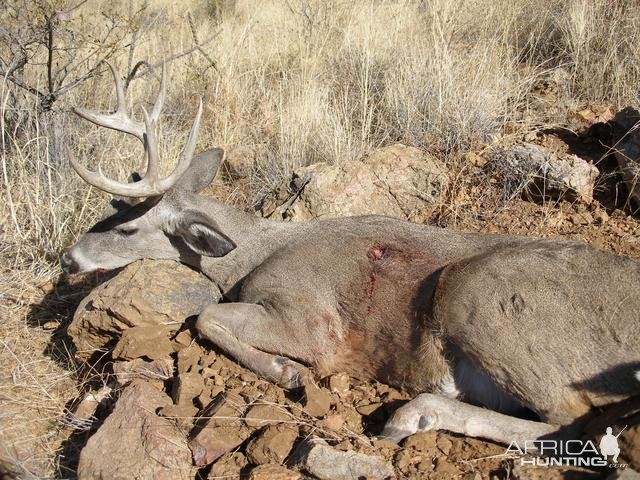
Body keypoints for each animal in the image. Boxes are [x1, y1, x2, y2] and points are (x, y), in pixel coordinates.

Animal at [61, 63, 640, 450]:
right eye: (115, 207)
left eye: (128, 226)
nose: (70, 258)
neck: (254, 251)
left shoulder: (309, 317)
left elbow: (207, 317)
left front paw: (285, 372)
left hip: (480, 292)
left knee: (570, 419)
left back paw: (409, 417)